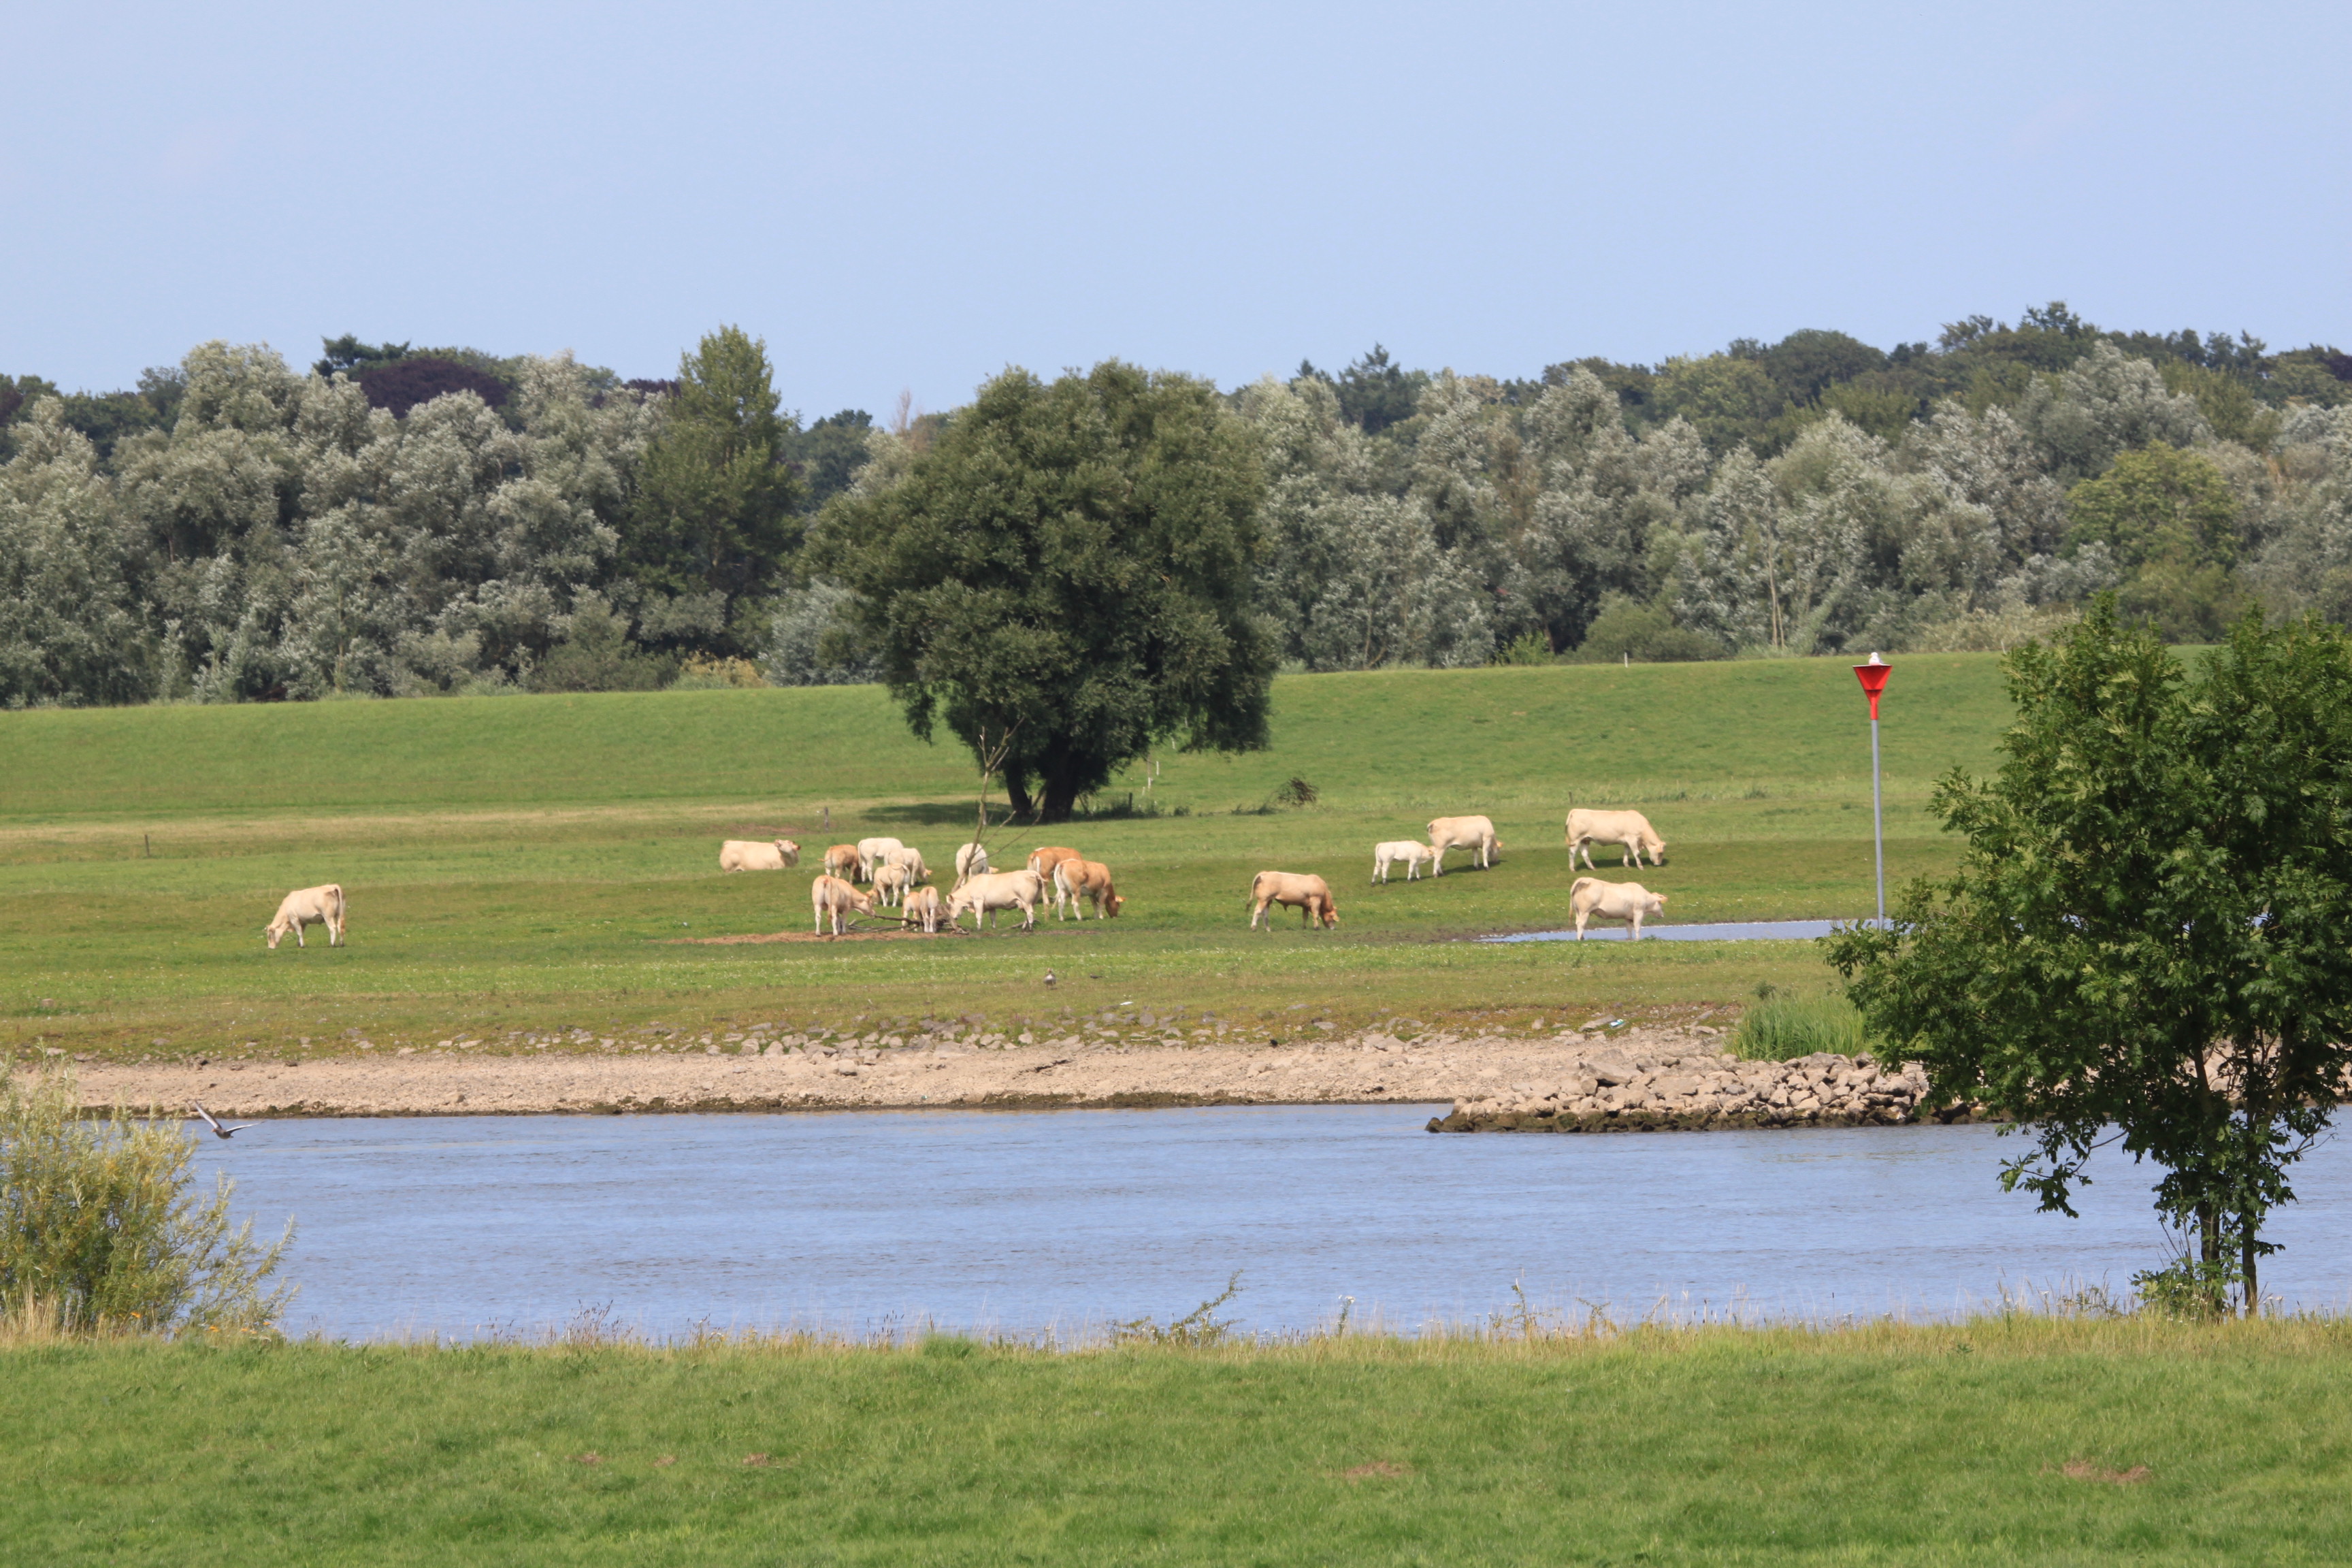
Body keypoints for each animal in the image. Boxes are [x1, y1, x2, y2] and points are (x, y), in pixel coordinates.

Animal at [948, 869, 1046, 932]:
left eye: (950, 905)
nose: (953, 917)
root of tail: (1031, 872)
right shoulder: (991, 906)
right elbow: (993, 917)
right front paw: (994, 928)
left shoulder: (978, 900)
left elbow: (978, 916)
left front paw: (978, 929)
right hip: (1032, 901)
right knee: (1028, 914)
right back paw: (1024, 928)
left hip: (1026, 901)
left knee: (1029, 913)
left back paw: (1030, 929)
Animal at [1248, 871, 1339, 930]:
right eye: (1333, 919)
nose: (1333, 928)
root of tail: (1266, 873)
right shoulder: (1315, 900)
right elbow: (1316, 915)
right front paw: (1316, 927)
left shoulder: (1305, 905)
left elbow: (1305, 916)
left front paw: (1304, 927)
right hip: (1263, 899)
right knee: (1258, 911)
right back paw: (1253, 927)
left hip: (1268, 901)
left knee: (1265, 914)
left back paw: (1268, 929)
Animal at [1565, 806, 1666, 870]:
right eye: (1660, 853)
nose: (1659, 864)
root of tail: (1576, 811)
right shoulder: (1632, 839)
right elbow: (1637, 853)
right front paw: (1640, 867)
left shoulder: (1627, 842)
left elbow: (1627, 852)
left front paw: (1626, 865)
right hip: (1576, 839)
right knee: (1572, 853)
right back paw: (1572, 869)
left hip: (1585, 839)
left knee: (1585, 854)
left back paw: (1592, 868)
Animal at [1570, 877, 1667, 940]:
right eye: (1660, 904)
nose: (1663, 915)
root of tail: (1584, 880)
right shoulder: (1638, 912)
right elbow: (1637, 927)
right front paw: (1638, 939)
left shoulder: (1628, 917)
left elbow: (1629, 928)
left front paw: (1630, 939)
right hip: (1585, 911)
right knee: (1581, 924)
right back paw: (1580, 939)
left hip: (1578, 911)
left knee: (1578, 923)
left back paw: (1582, 937)